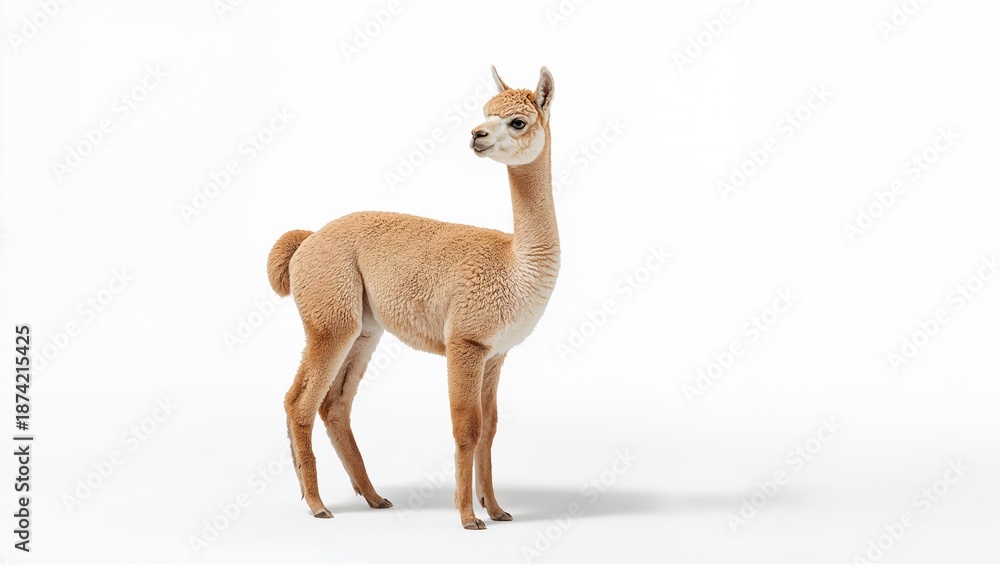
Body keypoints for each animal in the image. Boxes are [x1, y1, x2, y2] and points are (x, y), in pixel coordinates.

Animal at [266, 66, 558, 530]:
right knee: (299, 402)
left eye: (517, 121)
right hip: (331, 315)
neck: (515, 264)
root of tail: (308, 239)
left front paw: (496, 509)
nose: (476, 135)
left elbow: (490, 427)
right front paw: (468, 517)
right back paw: (316, 503)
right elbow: (466, 427)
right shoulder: (465, 341)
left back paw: (371, 496)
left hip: (364, 328)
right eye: (484, 112)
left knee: (335, 405)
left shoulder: (495, 352)